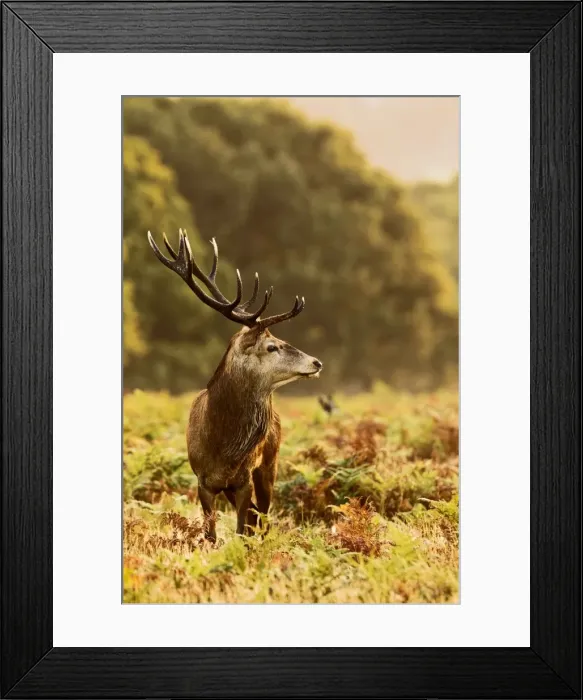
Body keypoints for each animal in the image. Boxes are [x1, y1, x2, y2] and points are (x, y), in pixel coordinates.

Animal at [147, 229, 323, 542]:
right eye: (272, 346)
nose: (316, 362)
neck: (223, 446)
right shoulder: (203, 481)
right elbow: (211, 535)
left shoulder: (243, 480)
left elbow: (243, 530)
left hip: (269, 464)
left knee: (263, 515)